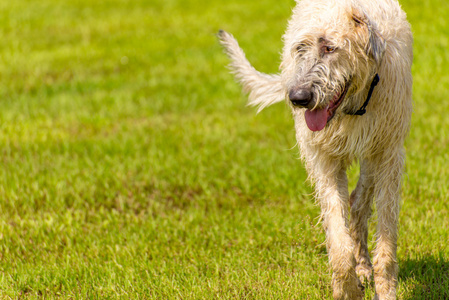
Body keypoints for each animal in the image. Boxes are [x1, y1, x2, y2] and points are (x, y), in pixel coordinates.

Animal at [219, 0, 412, 298]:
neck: (352, 106)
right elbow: (337, 238)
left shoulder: (389, 151)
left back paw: (364, 263)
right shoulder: (323, 160)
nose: (298, 98)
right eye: (300, 48)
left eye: (330, 48)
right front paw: (347, 287)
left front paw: (385, 288)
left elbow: (387, 237)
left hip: (374, 153)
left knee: (360, 201)